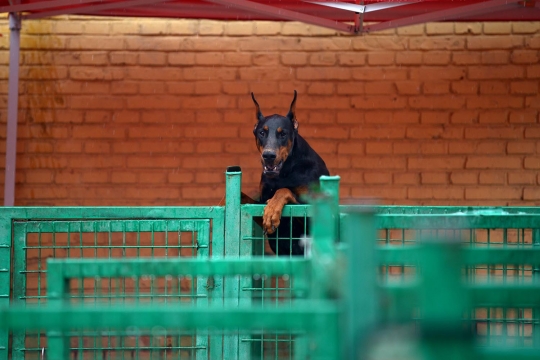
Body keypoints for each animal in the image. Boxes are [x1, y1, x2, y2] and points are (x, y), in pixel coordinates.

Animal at [252, 90, 330, 256]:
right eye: (262, 132)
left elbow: (284, 190)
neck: (284, 172)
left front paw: (271, 212)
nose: (268, 156)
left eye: (283, 134)